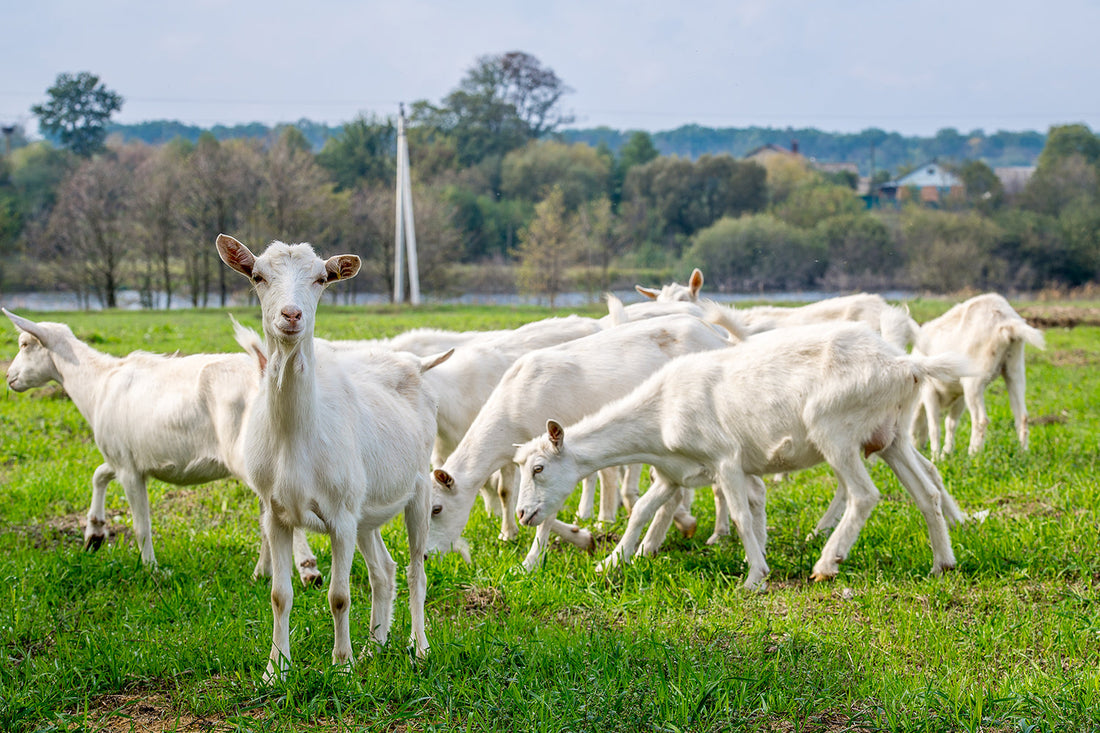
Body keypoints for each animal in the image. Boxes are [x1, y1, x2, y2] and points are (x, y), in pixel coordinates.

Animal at [3, 308, 322, 585]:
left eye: (25, 344)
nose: (9, 378)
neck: (96, 385)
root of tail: (263, 369)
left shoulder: (128, 468)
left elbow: (141, 524)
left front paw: (151, 568)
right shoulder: (124, 458)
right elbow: (99, 474)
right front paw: (94, 533)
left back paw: (308, 570)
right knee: (267, 517)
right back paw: (262, 573)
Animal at [217, 234, 440, 681]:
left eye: (322, 278)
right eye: (257, 276)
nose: (291, 314)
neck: (297, 438)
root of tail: (415, 363)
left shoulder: (340, 515)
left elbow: (339, 596)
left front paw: (342, 666)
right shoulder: (277, 512)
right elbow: (279, 595)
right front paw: (275, 670)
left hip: (417, 486)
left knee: (415, 570)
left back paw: (418, 648)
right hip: (365, 508)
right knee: (384, 570)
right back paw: (375, 645)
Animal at [428, 313, 740, 571]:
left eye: (436, 508)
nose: (428, 555)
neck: (510, 411)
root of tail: (720, 338)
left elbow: (545, 510)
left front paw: (533, 561)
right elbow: (510, 494)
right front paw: (520, 534)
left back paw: (716, 534)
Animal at [514, 323, 968, 589]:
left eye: (538, 468)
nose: (522, 514)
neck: (659, 413)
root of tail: (906, 364)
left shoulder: (725, 460)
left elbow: (739, 514)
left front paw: (755, 576)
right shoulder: (674, 472)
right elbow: (642, 509)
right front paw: (611, 562)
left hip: (835, 428)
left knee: (864, 495)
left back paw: (827, 563)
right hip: (890, 435)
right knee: (925, 492)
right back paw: (942, 564)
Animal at [911, 293, 1045, 457]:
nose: (917, 448)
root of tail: (1006, 320)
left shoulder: (930, 389)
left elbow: (934, 425)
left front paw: (936, 456)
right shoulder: (959, 395)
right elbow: (951, 423)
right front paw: (946, 453)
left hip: (973, 379)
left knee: (981, 420)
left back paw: (974, 454)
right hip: (1015, 368)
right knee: (1022, 416)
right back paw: (1023, 452)